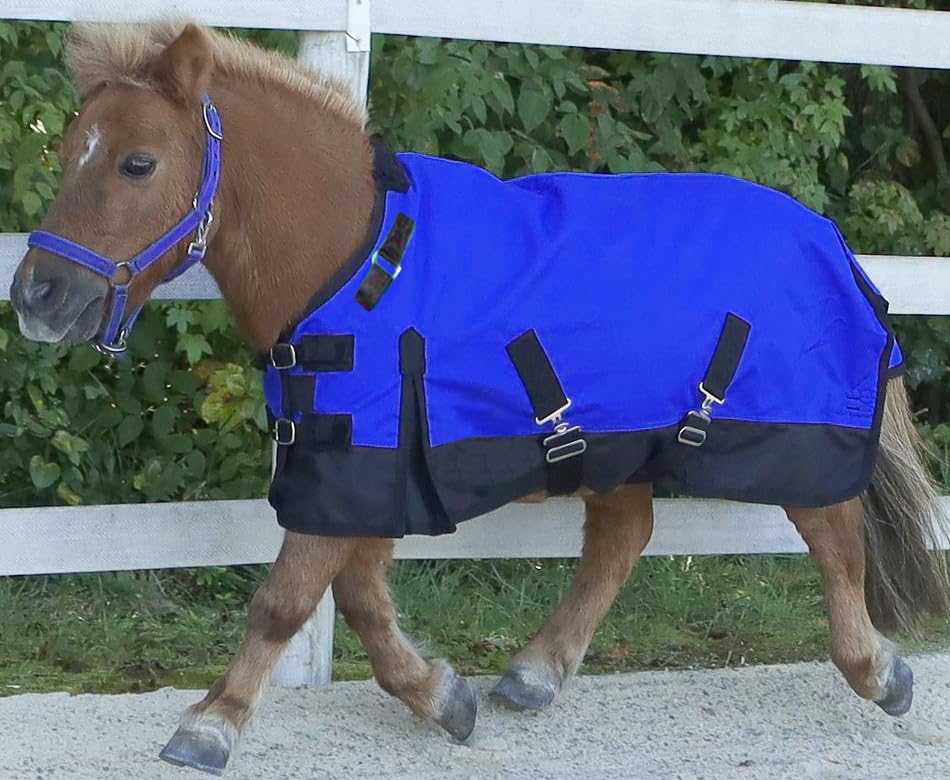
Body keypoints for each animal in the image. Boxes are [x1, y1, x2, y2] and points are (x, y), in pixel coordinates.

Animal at [9, 22, 950, 776]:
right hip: (621, 443)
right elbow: (359, 601)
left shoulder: (356, 463)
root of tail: (827, 237)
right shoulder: (364, 468)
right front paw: (440, 695)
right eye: (69, 149)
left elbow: (285, 599)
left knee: (834, 537)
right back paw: (535, 673)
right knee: (622, 541)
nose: (36, 295)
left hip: (796, 436)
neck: (358, 261)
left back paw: (880, 671)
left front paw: (212, 724)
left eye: (138, 162)